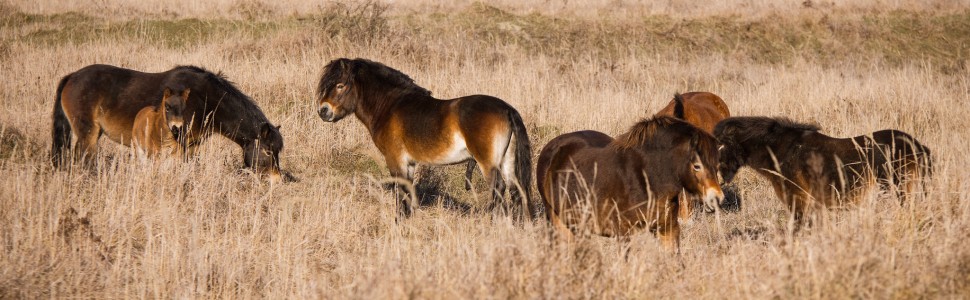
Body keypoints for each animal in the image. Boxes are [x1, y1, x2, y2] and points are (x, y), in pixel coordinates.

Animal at [52, 64, 288, 182]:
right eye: (268, 151)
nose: (277, 180)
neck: (204, 99)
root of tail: (72, 76)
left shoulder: (192, 145)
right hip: (88, 134)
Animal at [314, 57, 532, 219]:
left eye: (340, 85)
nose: (323, 111)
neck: (390, 106)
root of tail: (506, 109)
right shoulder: (409, 164)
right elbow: (409, 195)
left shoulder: (396, 161)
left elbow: (401, 195)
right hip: (507, 162)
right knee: (516, 191)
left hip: (488, 164)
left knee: (499, 189)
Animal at [532, 116, 724, 252]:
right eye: (697, 166)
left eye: (716, 165)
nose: (716, 198)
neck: (649, 178)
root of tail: (552, 147)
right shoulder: (625, 233)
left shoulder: (668, 228)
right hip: (556, 219)